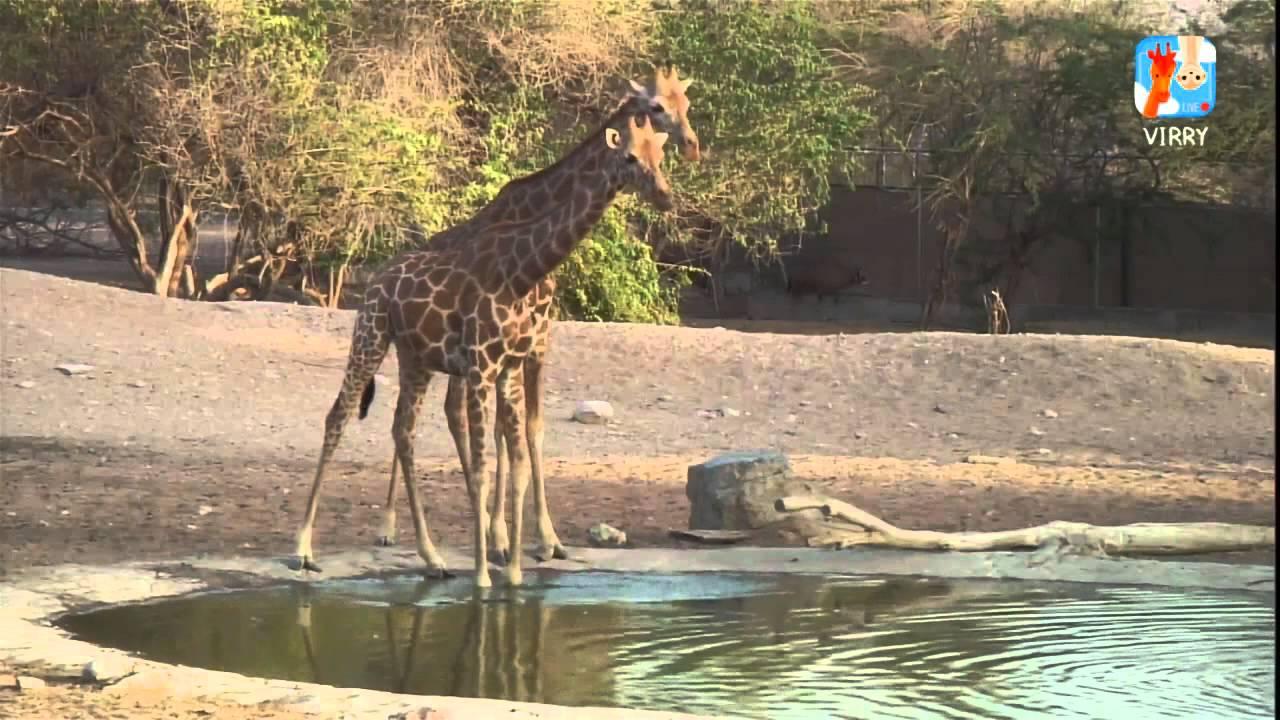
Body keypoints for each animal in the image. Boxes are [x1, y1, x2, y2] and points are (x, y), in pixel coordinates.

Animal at [294, 110, 675, 584]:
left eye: (659, 156)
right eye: (629, 157)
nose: (665, 195)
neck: (523, 272)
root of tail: (376, 277)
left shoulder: (509, 366)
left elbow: (518, 458)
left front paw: (514, 573)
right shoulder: (481, 367)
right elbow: (482, 467)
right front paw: (484, 574)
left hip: (416, 359)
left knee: (403, 429)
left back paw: (431, 556)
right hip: (370, 335)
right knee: (339, 416)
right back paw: (305, 548)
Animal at [373, 67, 701, 561]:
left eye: (686, 104)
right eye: (657, 107)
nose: (692, 144)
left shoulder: (539, 342)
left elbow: (530, 429)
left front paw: (544, 537)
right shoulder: (508, 348)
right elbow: (505, 435)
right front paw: (503, 535)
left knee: (447, 414)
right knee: (433, 418)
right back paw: (391, 525)